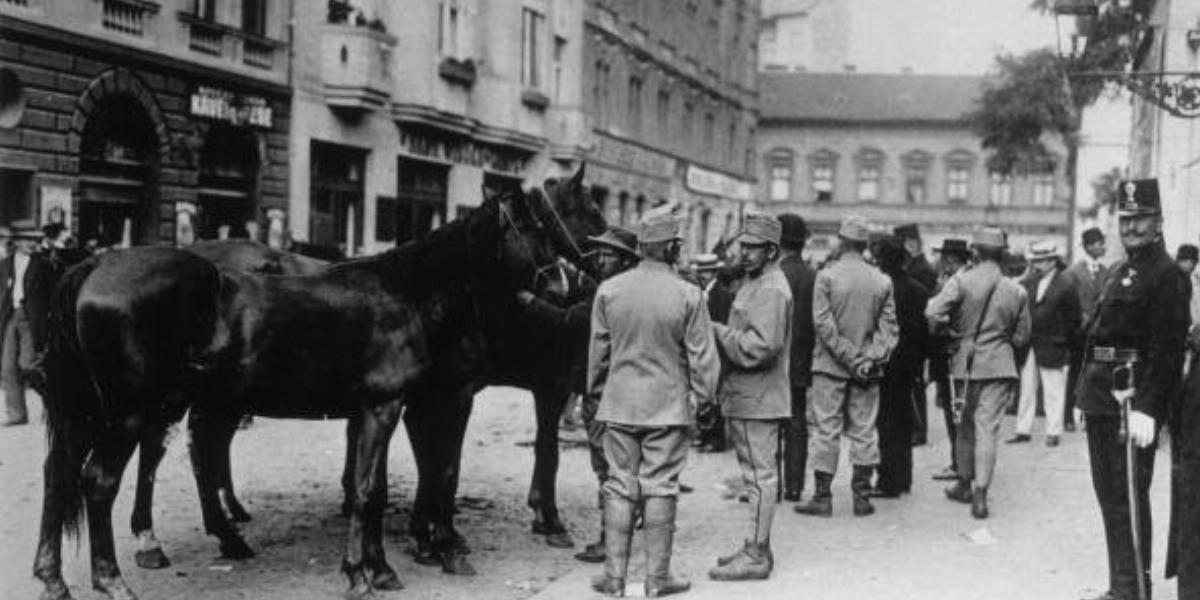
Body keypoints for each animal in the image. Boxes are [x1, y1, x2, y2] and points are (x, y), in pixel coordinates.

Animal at [36, 188, 576, 600]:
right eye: (538, 229)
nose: (567, 287)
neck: (406, 294)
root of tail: (91, 268)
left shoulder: (380, 410)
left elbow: (375, 489)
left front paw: (382, 567)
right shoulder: (386, 407)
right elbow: (370, 489)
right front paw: (361, 573)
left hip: (98, 411)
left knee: (62, 474)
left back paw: (55, 578)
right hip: (131, 412)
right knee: (100, 481)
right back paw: (112, 580)